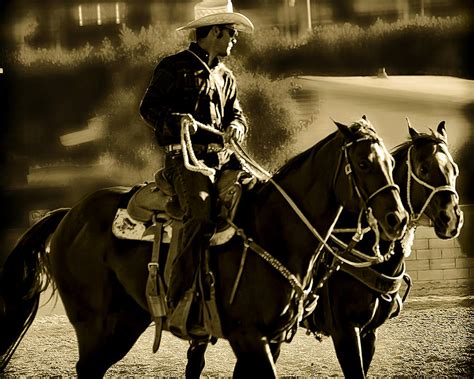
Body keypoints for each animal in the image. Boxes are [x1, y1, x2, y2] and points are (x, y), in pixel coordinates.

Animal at [0, 118, 408, 378]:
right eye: (363, 163)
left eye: (391, 162)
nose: (397, 219)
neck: (274, 229)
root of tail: (69, 215)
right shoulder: (254, 336)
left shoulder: (272, 338)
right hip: (94, 322)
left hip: (127, 319)